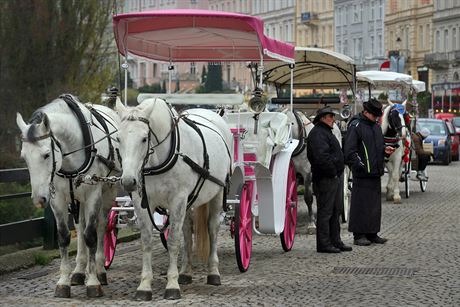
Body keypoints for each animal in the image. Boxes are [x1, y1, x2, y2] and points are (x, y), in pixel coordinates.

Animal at [15, 95, 120, 300]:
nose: (39, 199)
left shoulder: (93, 193)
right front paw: (63, 281)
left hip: (108, 190)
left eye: (46, 154)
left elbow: (91, 235)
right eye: (24, 157)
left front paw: (93, 282)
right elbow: (64, 236)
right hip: (77, 198)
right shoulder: (58, 198)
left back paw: (100, 270)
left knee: (102, 226)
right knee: (80, 226)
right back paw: (79, 271)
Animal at [113, 98, 232, 300]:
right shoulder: (142, 202)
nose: (128, 181)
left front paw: (172, 284)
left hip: (217, 193)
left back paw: (213, 272)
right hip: (190, 201)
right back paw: (186, 272)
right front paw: (144, 285)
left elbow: (174, 242)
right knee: (187, 230)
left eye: (144, 138)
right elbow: (147, 241)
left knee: (212, 229)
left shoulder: (178, 200)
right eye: (118, 138)